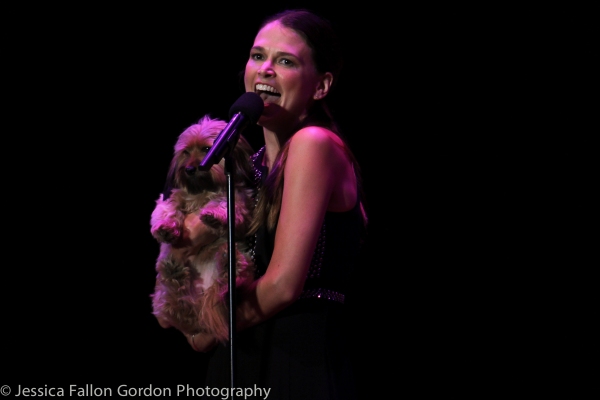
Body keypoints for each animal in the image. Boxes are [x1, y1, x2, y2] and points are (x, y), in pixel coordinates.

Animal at [150, 114, 255, 342]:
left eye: (207, 149)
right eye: (186, 152)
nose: (190, 169)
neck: (203, 189)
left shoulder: (239, 201)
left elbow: (225, 202)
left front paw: (214, 214)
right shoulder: (173, 195)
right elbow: (167, 206)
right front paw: (165, 227)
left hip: (232, 261)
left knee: (231, 278)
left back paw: (227, 267)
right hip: (166, 293)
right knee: (177, 300)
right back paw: (175, 271)